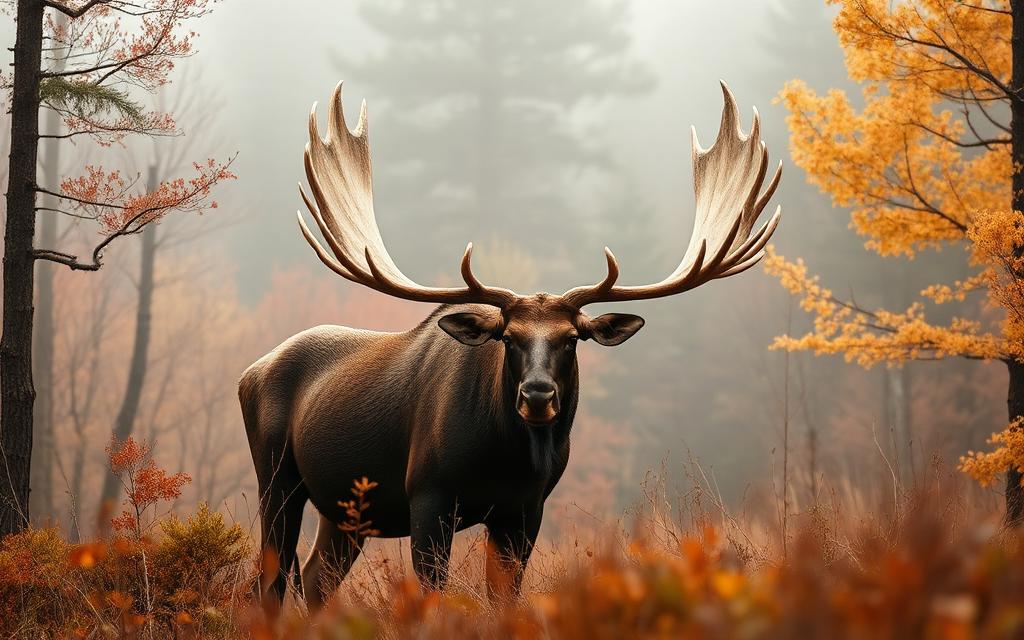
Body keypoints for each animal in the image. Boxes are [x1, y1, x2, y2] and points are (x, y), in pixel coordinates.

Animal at [240, 80, 781, 610]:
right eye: (508, 337)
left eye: (572, 338)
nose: (537, 394)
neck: (505, 459)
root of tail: (249, 372)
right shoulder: (428, 495)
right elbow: (432, 599)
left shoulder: (525, 511)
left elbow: (504, 602)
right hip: (276, 477)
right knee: (272, 579)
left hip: (345, 513)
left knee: (315, 580)